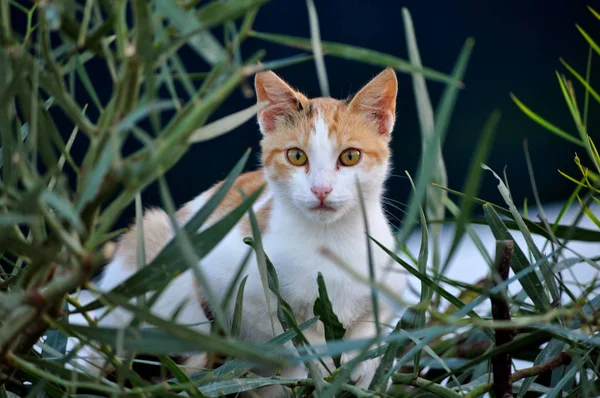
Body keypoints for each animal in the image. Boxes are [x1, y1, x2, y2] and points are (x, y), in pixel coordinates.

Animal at [71, 67, 408, 396]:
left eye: (350, 156)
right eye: (296, 156)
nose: (321, 190)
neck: (328, 241)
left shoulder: (387, 283)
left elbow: (372, 331)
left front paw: (365, 369)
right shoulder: (225, 278)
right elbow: (286, 337)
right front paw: (316, 367)